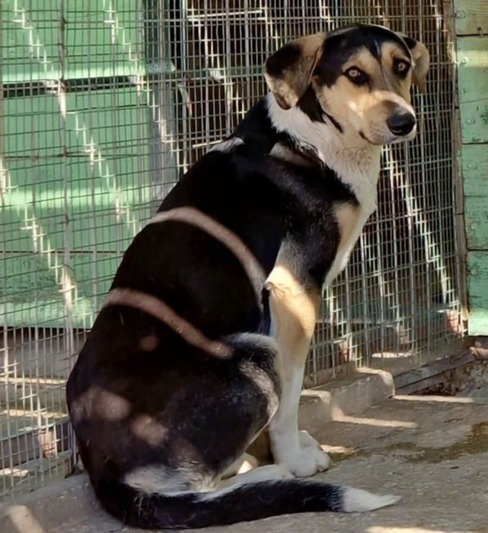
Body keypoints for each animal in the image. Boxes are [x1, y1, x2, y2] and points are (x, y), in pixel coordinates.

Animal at [66, 23, 429, 529]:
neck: (312, 140)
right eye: (355, 74)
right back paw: (272, 476)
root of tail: (103, 473)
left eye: (401, 66)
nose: (404, 121)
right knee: (198, 488)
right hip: (255, 352)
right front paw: (293, 459)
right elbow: (293, 395)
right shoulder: (294, 291)